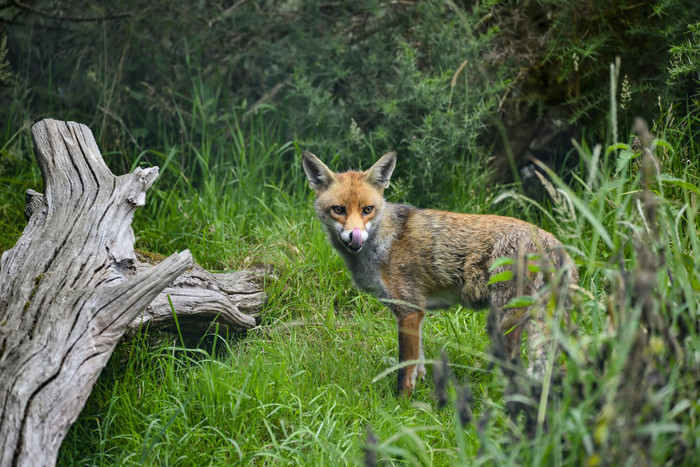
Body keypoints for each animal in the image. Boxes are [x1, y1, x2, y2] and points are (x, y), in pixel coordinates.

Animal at [300, 151, 580, 398]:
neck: (384, 242)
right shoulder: (418, 312)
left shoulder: (408, 309)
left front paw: (402, 405)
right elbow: (419, 364)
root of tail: (552, 242)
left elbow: (405, 369)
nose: (355, 236)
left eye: (367, 210)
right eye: (338, 210)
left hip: (505, 323)